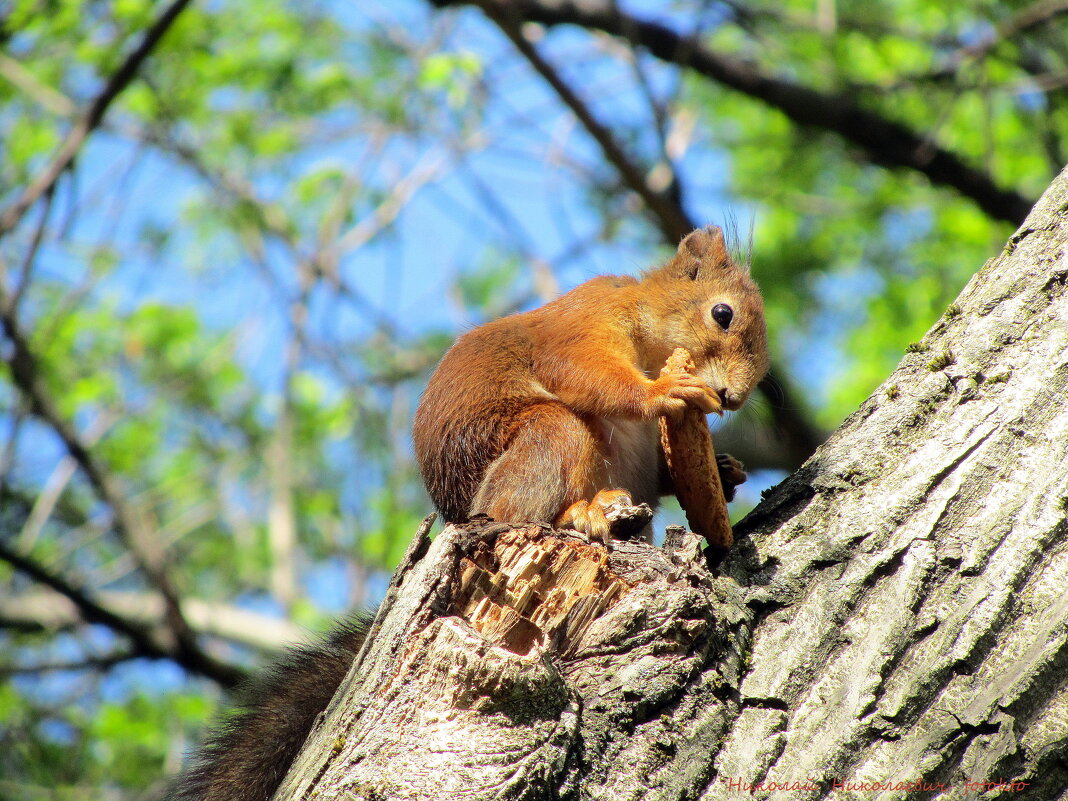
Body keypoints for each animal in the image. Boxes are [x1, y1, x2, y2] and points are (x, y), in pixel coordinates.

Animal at [410, 224, 768, 540]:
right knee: (508, 509)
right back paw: (579, 513)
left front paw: (725, 471)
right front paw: (663, 390)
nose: (733, 399)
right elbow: (579, 366)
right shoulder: (584, 319)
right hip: (548, 436)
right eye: (722, 313)